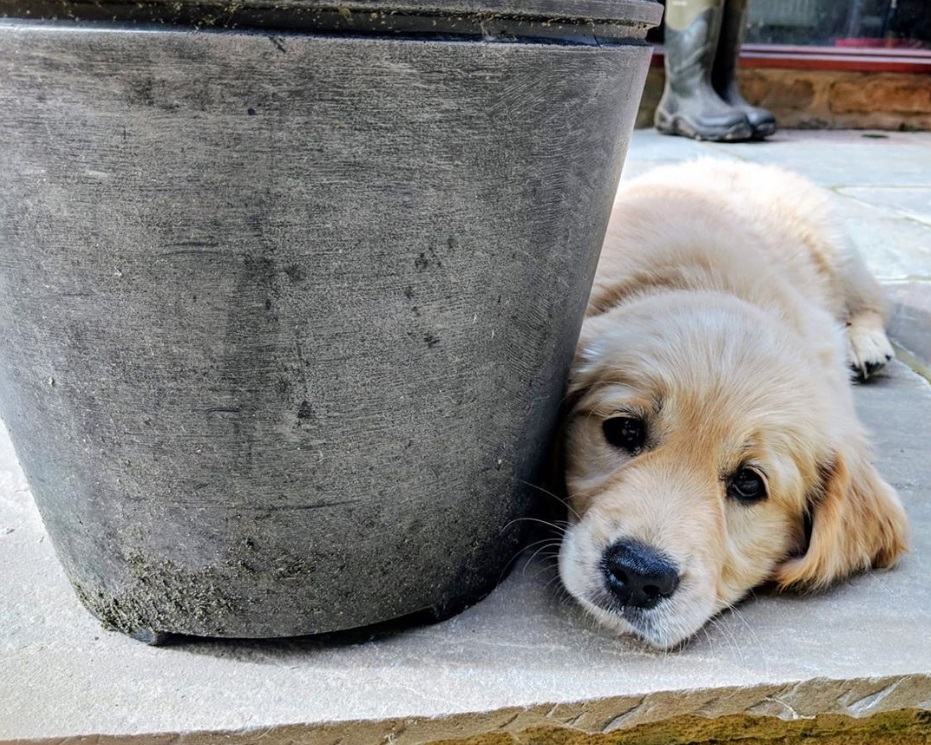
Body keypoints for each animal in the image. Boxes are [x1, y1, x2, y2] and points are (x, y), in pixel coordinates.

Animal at [560, 160, 912, 648]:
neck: (714, 283)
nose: (637, 575)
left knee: (874, 302)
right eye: (624, 429)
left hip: (842, 255)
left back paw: (868, 343)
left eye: (749, 484)